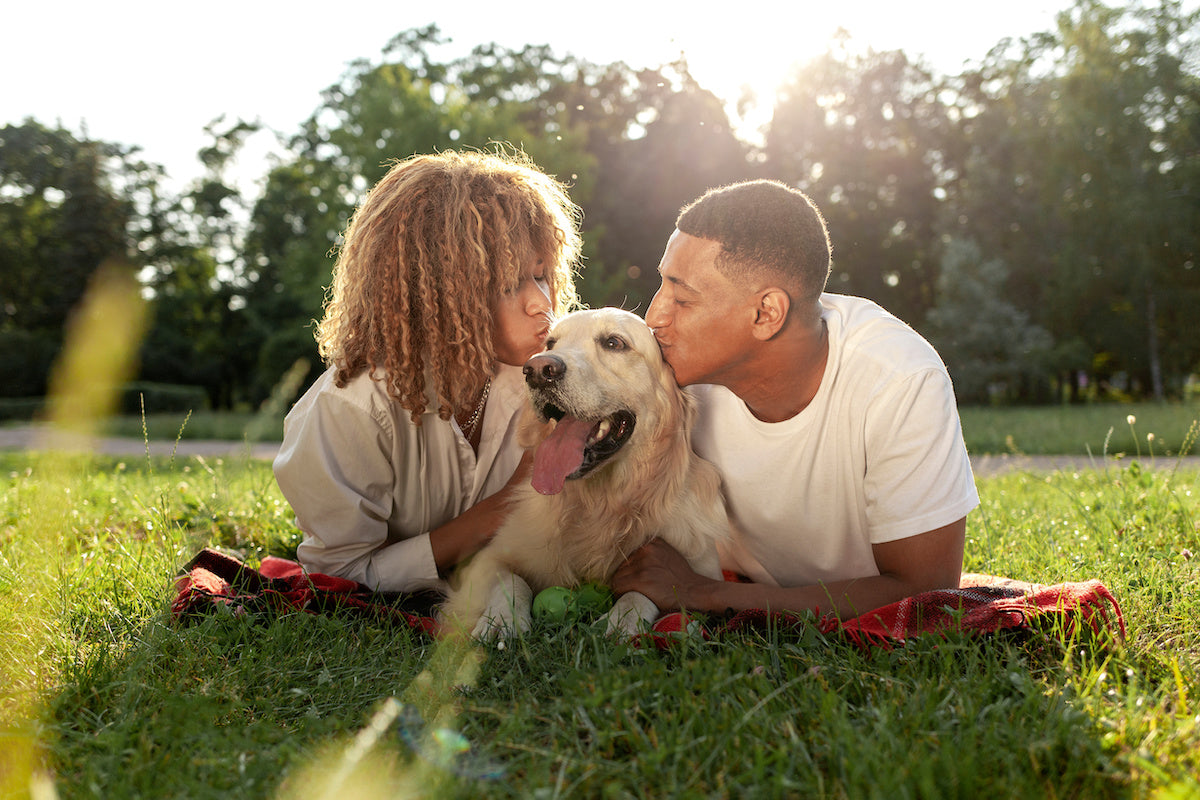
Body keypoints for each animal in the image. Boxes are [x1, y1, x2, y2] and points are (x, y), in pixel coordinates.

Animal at [439, 309, 720, 642]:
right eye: (550, 343)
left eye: (614, 342)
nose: (538, 370)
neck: (600, 505)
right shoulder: (485, 559)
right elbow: (510, 581)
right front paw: (502, 619)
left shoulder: (702, 566)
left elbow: (648, 590)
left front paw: (622, 619)